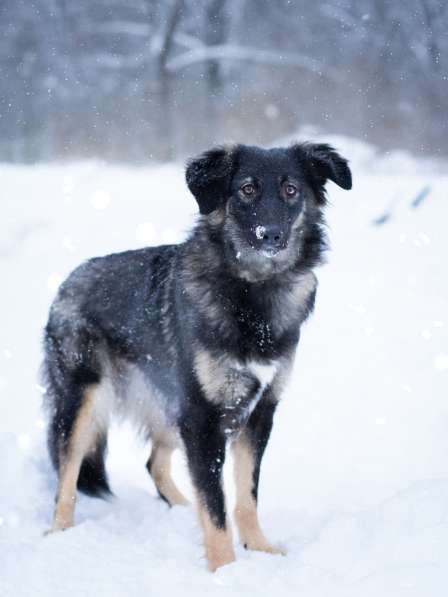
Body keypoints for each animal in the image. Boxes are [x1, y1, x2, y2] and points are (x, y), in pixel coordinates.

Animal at [44, 142, 354, 572]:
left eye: (291, 190)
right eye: (246, 190)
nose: (270, 234)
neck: (251, 292)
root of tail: (69, 280)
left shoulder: (258, 413)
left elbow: (245, 495)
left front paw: (259, 549)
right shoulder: (203, 418)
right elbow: (215, 505)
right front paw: (225, 569)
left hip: (168, 406)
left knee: (155, 463)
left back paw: (179, 509)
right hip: (85, 400)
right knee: (67, 473)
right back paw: (59, 533)